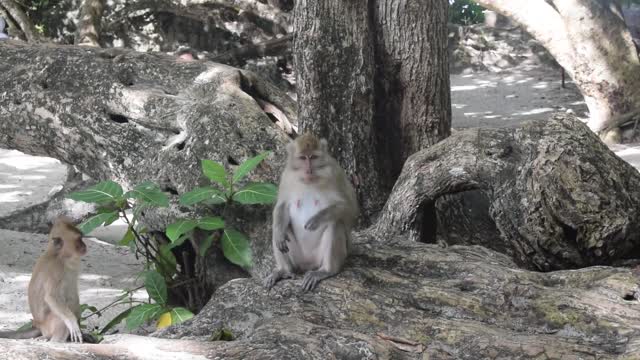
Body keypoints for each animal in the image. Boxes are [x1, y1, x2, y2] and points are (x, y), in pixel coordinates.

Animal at [262, 132, 358, 292]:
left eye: (313, 157)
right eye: (302, 158)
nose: (308, 170)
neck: (310, 180)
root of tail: (308, 264)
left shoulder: (335, 173)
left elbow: (350, 208)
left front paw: (316, 219)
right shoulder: (287, 175)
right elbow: (282, 206)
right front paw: (279, 233)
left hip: (323, 257)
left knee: (335, 224)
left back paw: (326, 271)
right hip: (298, 258)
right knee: (279, 231)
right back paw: (284, 270)